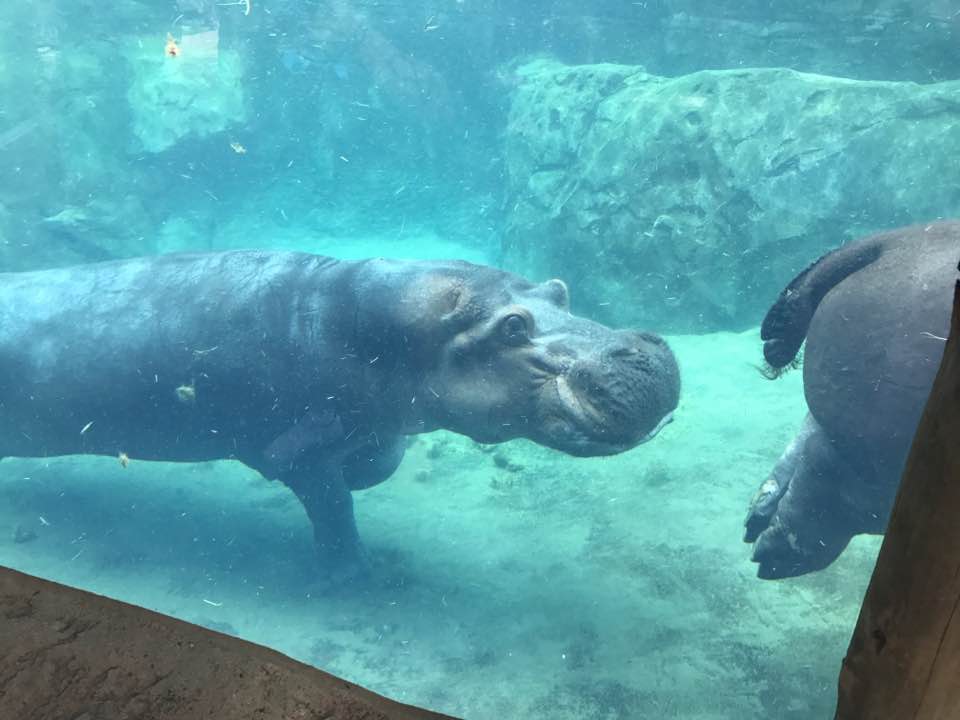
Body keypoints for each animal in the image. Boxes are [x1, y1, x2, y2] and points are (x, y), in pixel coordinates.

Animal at [0, 251, 680, 568]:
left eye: (558, 290)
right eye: (513, 326)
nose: (646, 354)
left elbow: (379, 465)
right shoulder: (295, 452)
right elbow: (335, 511)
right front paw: (362, 574)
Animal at [744, 221, 959, 579]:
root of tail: (891, 241)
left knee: (808, 449)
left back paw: (761, 530)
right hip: (879, 433)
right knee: (829, 476)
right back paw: (775, 554)